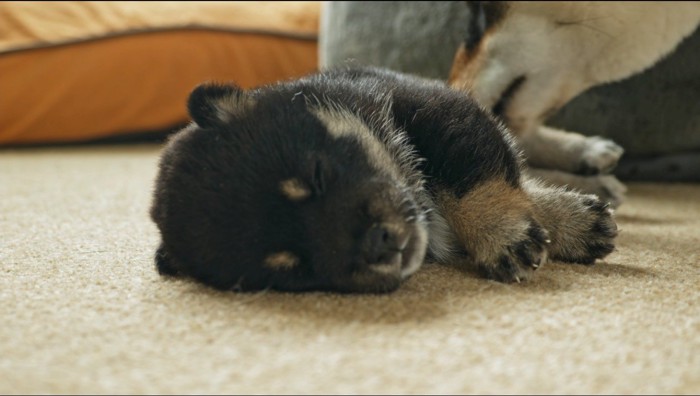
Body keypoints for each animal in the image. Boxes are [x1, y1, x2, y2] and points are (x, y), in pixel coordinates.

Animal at [149, 65, 616, 294]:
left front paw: (508, 233)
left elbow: (473, 180)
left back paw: (592, 157)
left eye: (317, 174)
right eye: (292, 266)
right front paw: (564, 222)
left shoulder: (441, 110)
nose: (378, 243)